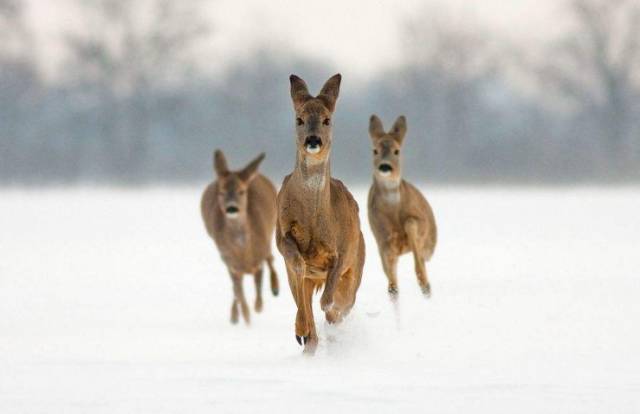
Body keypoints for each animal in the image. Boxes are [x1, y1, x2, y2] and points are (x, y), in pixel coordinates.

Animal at [201, 150, 278, 326]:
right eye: (221, 192)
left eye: (242, 191)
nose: (231, 208)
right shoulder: (231, 263)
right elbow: (239, 293)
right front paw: (246, 318)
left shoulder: (258, 258)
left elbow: (258, 286)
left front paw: (258, 307)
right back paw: (235, 316)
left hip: (271, 230)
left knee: (271, 257)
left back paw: (275, 288)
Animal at [276, 73, 364, 352]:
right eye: (299, 119)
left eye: (327, 119)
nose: (313, 140)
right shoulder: (281, 235)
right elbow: (298, 265)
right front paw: (303, 331)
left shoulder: (343, 249)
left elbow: (329, 299)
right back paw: (306, 336)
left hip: (357, 265)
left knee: (341, 303)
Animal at [368, 115, 438, 300]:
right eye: (375, 150)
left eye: (396, 151)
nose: (385, 166)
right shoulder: (382, 239)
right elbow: (391, 275)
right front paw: (393, 290)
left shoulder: (420, 222)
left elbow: (411, 224)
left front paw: (424, 283)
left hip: (430, 245)